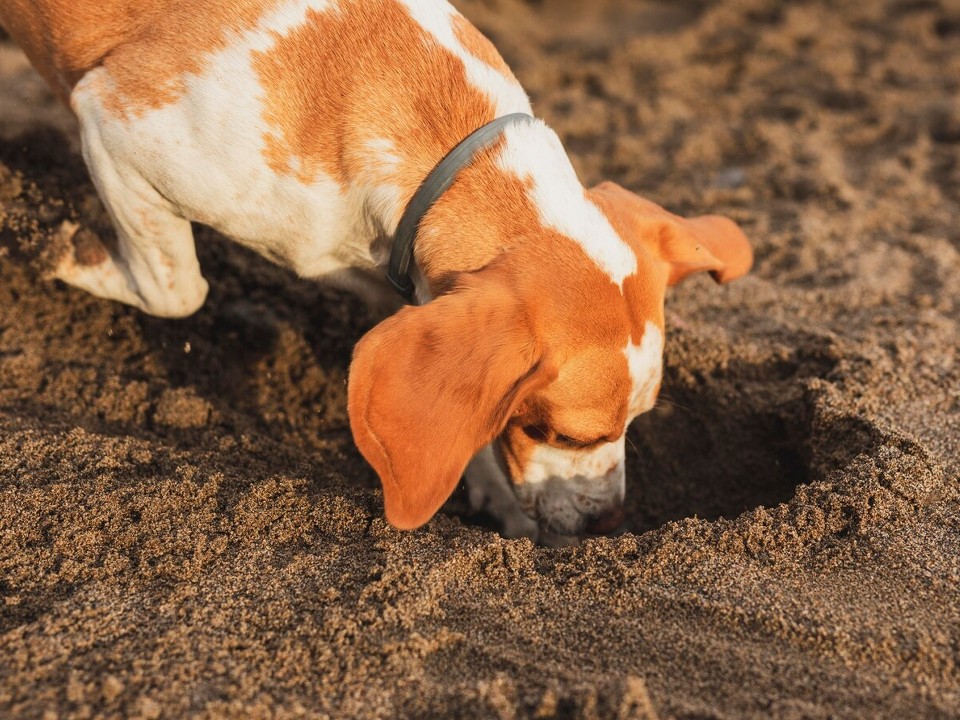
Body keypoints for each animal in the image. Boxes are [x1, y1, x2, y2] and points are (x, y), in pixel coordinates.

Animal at [0, 0, 752, 544]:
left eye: (639, 421)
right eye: (563, 434)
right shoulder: (111, 120)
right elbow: (177, 289)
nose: (608, 523)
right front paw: (57, 244)